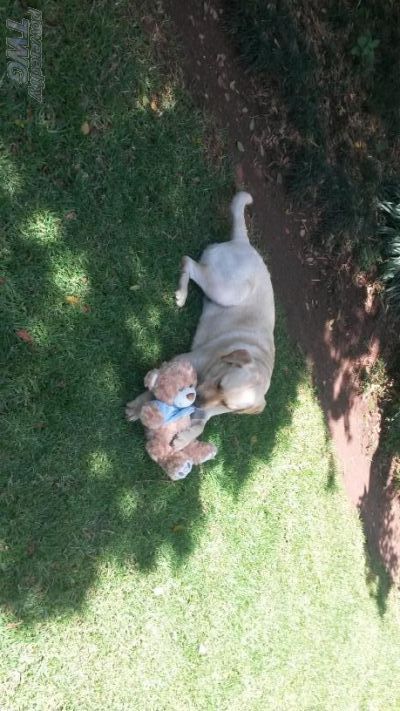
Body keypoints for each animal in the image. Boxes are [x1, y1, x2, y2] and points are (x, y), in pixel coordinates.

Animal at [125, 192, 275, 451]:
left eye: (228, 405)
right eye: (220, 383)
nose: (195, 403)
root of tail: (244, 242)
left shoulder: (211, 411)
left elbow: (201, 425)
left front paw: (184, 439)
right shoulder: (185, 359)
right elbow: (156, 388)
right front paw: (138, 406)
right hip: (227, 290)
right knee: (188, 262)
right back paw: (182, 294)